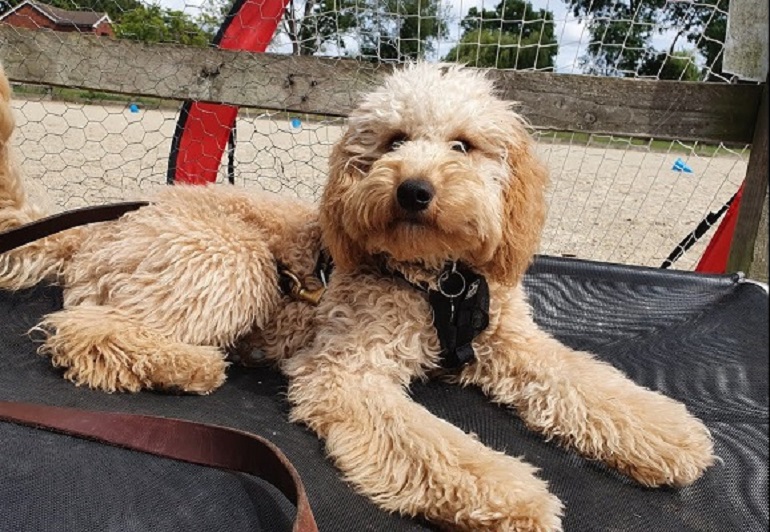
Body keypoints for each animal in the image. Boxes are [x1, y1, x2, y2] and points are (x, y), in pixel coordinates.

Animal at [0, 63, 712, 532]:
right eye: (393, 141)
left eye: (463, 144)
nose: (414, 190)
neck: (436, 281)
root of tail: (104, 226)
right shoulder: (347, 373)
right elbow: (436, 444)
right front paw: (512, 495)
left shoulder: (514, 342)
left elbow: (588, 383)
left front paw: (667, 435)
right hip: (232, 256)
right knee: (81, 330)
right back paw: (189, 365)